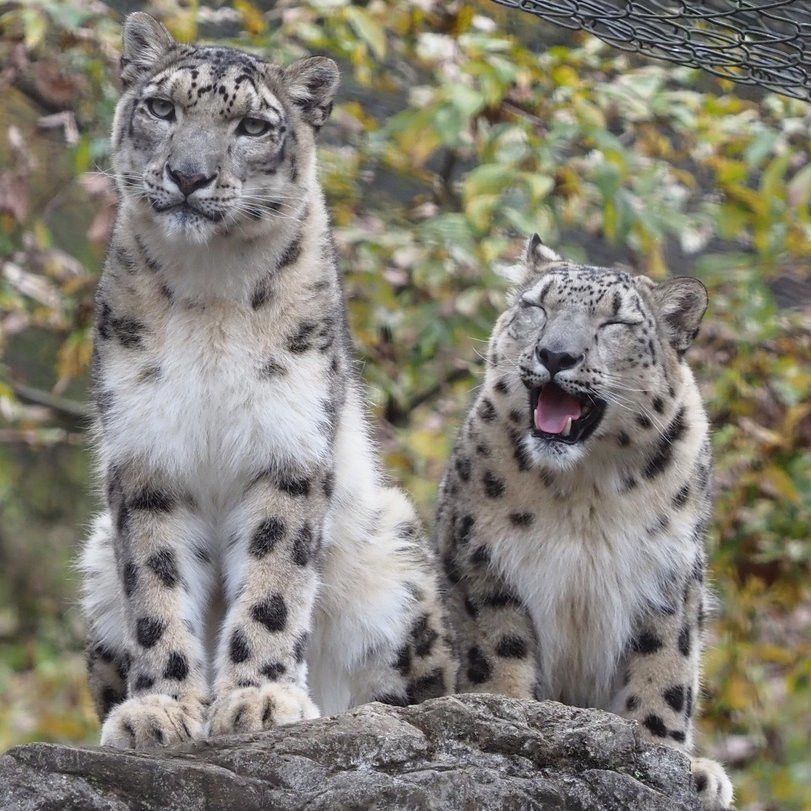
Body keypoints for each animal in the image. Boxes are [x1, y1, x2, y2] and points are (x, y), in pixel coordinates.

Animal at [77, 11, 456, 748]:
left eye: (252, 125)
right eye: (162, 108)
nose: (189, 175)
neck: (210, 295)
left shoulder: (287, 443)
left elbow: (275, 577)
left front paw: (260, 698)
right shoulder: (147, 450)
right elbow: (156, 584)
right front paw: (160, 707)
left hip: (396, 549)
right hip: (98, 555)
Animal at [438, 232, 736, 808]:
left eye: (615, 323)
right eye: (537, 307)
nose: (555, 354)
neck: (584, 491)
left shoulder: (668, 575)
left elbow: (664, 666)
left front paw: (661, 753)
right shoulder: (484, 558)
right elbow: (499, 648)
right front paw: (504, 713)